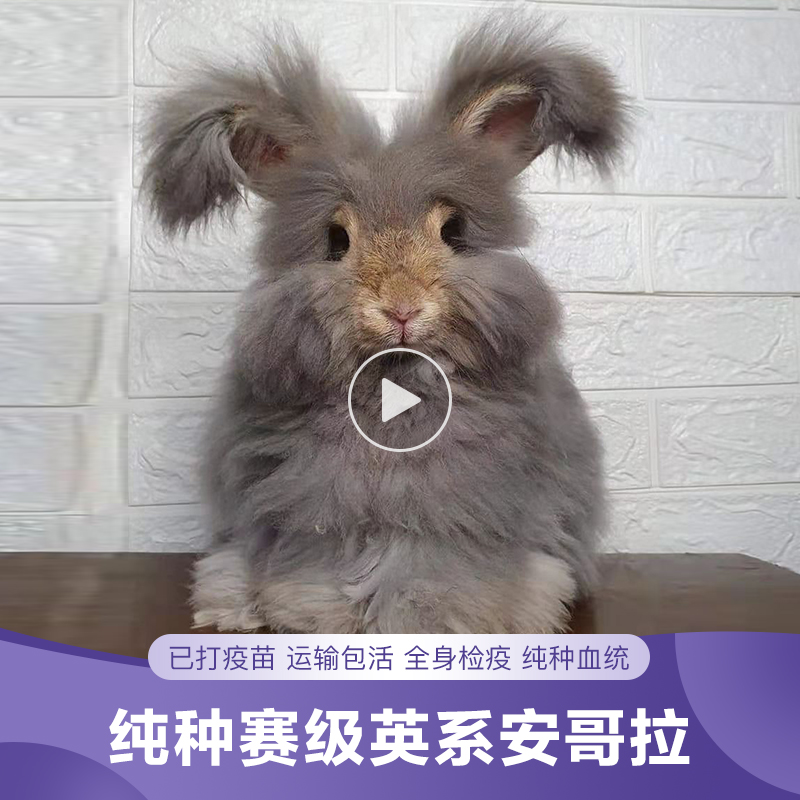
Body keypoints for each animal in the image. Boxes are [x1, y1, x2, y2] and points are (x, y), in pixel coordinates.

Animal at [142, 13, 629, 634]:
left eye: (453, 231)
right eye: (335, 240)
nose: (401, 307)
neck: (392, 391)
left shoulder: (462, 506)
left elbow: (440, 570)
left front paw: (426, 617)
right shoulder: (311, 503)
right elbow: (316, 569)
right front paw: (316, 614)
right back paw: (235, 608)